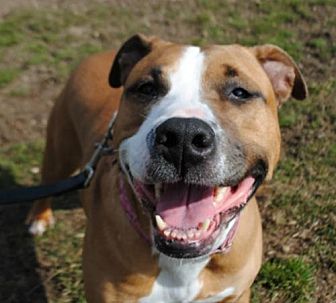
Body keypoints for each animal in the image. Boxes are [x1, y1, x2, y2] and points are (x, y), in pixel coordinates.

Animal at [28, 34, 308, 302]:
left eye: (239, 92)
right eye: (147, 88)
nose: (183, 136)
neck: (183, 264)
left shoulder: (236, 295)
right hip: (59, 153)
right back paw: (39, 219)